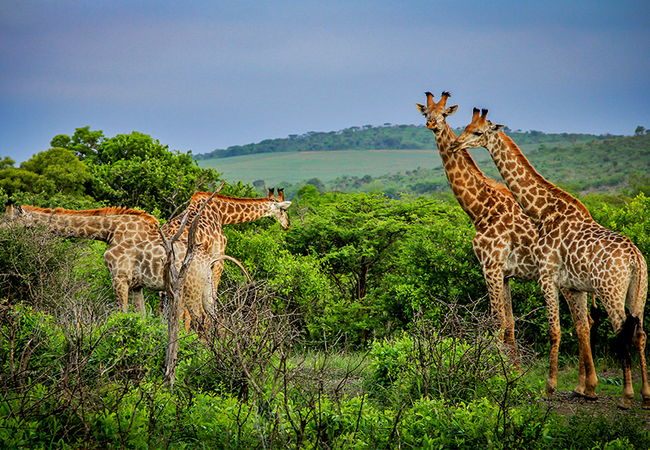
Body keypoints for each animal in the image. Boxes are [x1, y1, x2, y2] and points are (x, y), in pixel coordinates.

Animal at [2, 201, 238, 326]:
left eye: (7, 220)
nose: (2, 235)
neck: (109, 231)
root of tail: (208, 260)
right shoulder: (136, 285)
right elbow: (140, 318)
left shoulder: (119, 277)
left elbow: (120, 314)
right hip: (207, 289)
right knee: (216, 320)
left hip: (190, 289)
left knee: (201, 321)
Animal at [418, 90, 540, 362]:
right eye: (425, 112)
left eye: (444, 114)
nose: (431, 124)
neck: (482, 210)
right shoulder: (505, 273)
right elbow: (510, 323)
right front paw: (512, 369)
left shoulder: (491, 266)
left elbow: (496, 321)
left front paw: (493, 368)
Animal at [450, 107, 648, 410]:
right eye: (465, 126)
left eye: (478, 131)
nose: (455, 144)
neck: (544, 211)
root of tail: (635, 257)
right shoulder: (569, 285)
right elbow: (571, 328)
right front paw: (581, 388)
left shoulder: (546, 277)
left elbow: (553, 330)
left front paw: (549, 388)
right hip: (638, 292)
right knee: (639, 333)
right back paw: (645, 395)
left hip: (609, 291)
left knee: (620, 332)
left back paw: (626, 397)